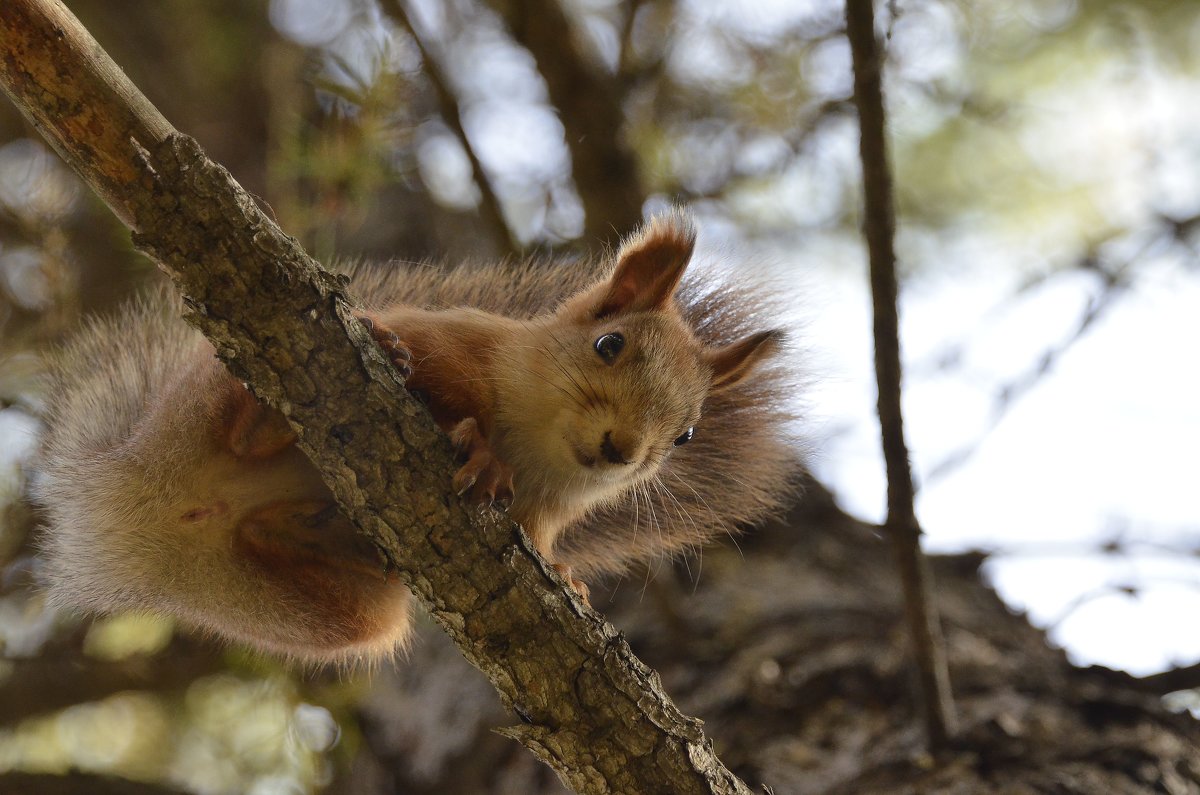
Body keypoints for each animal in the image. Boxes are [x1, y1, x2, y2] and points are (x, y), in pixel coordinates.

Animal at [35, 211, 806, 667]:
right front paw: (477, 442)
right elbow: (441, 376)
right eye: (609, 343)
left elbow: (538, 539)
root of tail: (141, 500)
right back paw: (266, 419)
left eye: (686, 435)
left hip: (339, 618)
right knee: (242, 408)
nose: (622, 449)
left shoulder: (545, 512)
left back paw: (298, 527)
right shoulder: (449, 335)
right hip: (203, 389)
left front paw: (565, 576)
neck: (541, 450)